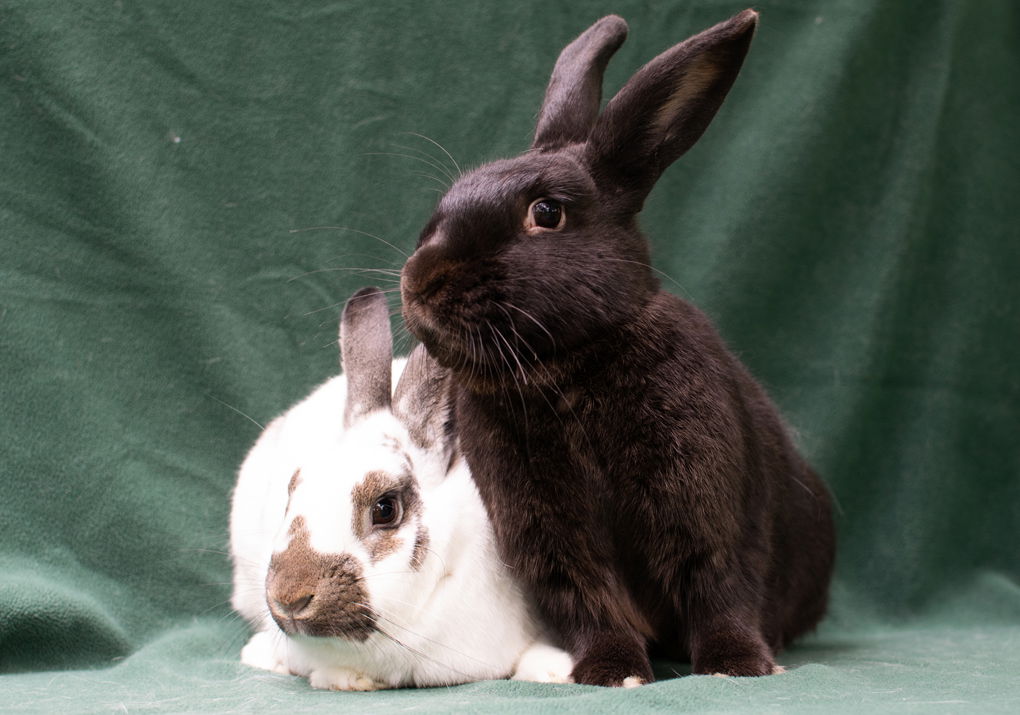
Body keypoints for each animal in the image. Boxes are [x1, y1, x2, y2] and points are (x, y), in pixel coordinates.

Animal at [397, 6, 836, 685]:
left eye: (547, 212)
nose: (418, 283)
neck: (571, 364)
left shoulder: (706, 512)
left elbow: (717, 586)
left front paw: (736, 666)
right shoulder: (551, 537)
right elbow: (588, 597)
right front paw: (612, 672)